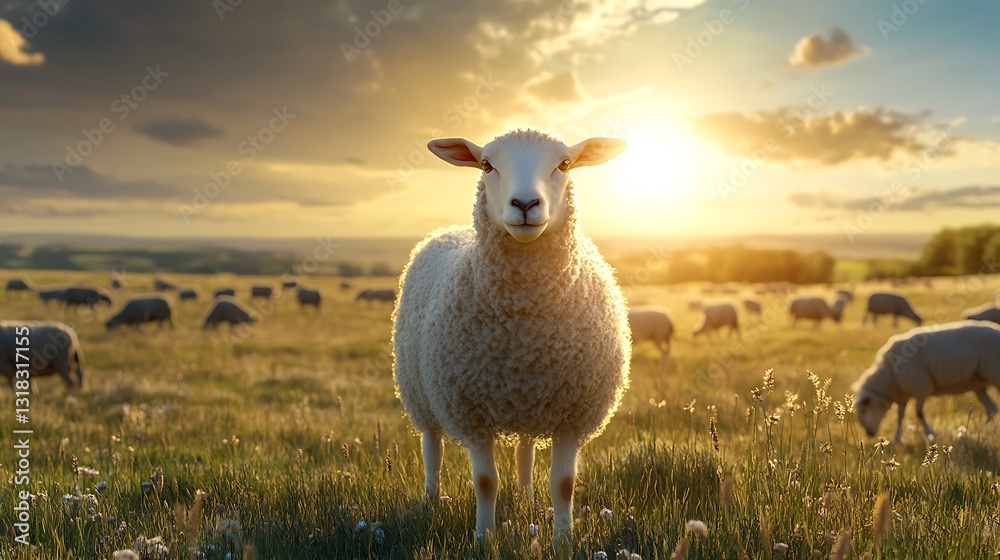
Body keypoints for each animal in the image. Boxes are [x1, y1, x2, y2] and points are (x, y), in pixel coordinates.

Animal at [393, 129, 630, 542]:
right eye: (487, 165)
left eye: (565, 163)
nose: (524, 203)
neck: (524, 334)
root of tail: (444, 232)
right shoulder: (470, 412)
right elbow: (486, 482)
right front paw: (484, 538)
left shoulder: (573, 414)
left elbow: (564, 483)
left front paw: (563, 540)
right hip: (419, 393)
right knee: (432, 449)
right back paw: (430, 502)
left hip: (530, 403)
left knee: (524, 451)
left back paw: (526, 498)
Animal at [853, 321, 1000, 441]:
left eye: (864, 409)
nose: (869, 433)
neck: (888, 376)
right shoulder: (903, 394)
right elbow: (900, 416)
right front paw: (897, 439)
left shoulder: (921, 387)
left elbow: (918, 413)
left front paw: (930, 434)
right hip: (979, 384)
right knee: (991, 408)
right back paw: (984, 430)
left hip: (994, 372)